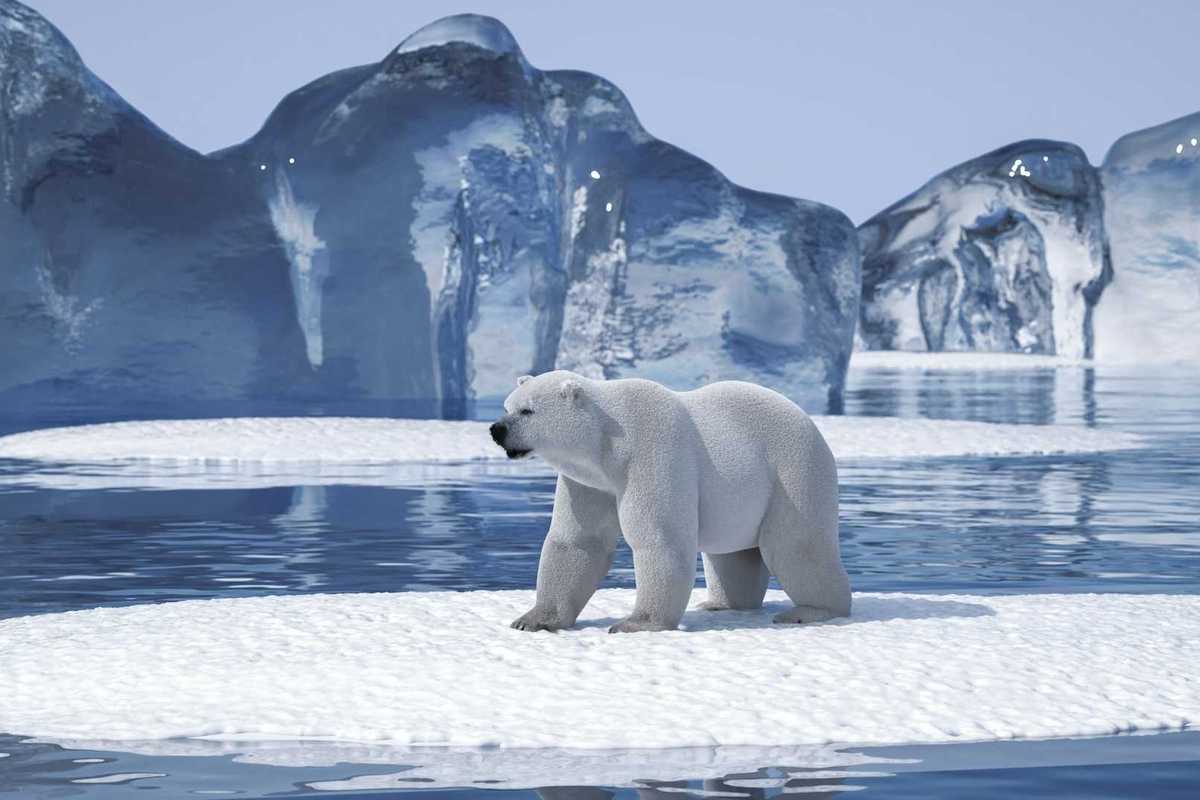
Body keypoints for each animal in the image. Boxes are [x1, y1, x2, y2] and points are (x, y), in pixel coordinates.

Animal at [489, 370, 851, 633]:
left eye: (527, 410)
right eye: (507, 406)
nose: (496, 429)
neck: (610, 443)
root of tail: (806, 418)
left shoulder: (653, 452)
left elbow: (659, 538)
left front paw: (635, 623)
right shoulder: (588, 482)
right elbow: (578, 541)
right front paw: (532, 619)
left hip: (792, 470)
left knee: (795, 545)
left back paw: (814, 609)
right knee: (733, 553)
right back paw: (721, 603)